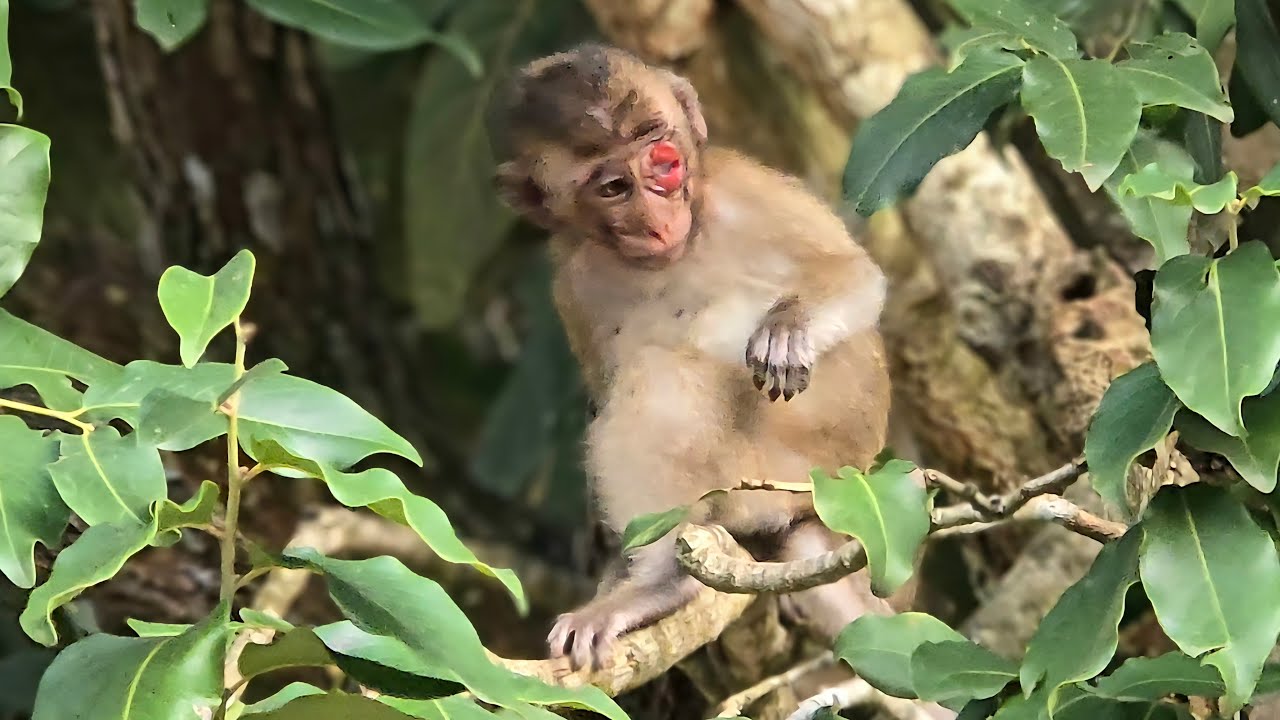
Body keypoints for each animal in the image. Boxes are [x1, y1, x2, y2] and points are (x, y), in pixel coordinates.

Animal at [489, 44, 900, 674]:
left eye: (661, 157)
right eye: (613, 187)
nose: (659, 216)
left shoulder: (747, 188)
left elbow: (854, 274)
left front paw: (788, 329)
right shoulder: (573, 283)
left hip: (786, 469)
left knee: (668, 375)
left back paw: (660, 585)